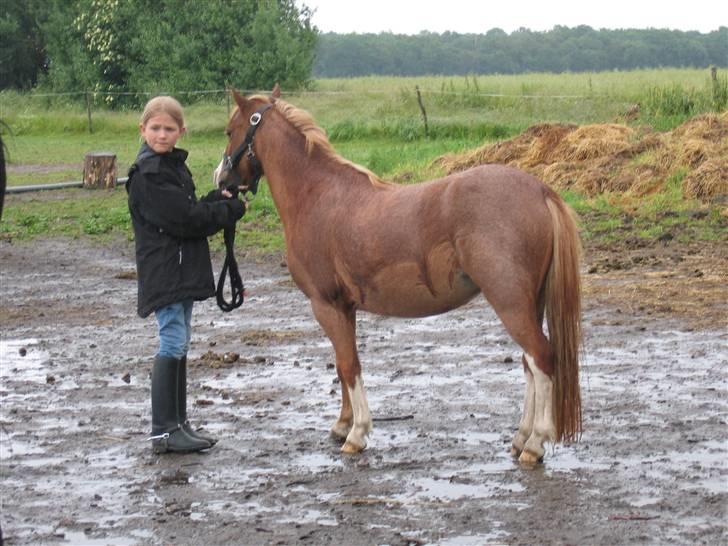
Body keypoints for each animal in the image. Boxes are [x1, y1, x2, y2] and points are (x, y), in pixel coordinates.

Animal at [214, 86, 583, 465]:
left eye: (229, 132)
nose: (221, 180)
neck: (316, 195)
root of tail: (540, 191)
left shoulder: (326, 305)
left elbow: (349, 366)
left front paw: (357, 434)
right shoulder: (344, 308)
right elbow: (342, 365)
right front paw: (343, 424)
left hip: (510, 302)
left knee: (541, 358)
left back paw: (535, 444)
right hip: (531, 303)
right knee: (530, 364)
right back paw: (521, 438)